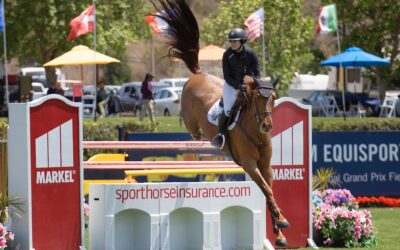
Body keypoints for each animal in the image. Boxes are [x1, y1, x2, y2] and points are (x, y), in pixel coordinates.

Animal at [153, 0, 290, 246]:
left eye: (274, 97)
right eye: (258, 98)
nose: (267, 126)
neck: (256, 133)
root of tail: (198, 74)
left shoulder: (265, 165)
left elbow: (269, 191)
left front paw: (280, 232)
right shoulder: (249, 165)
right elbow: (267, 190)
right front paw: (281, 222)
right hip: (191, 122)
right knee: (194, 132)